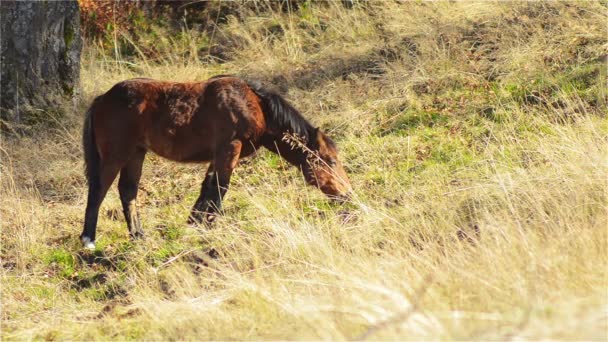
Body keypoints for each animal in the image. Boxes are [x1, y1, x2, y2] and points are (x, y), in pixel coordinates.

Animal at [79, 75, 352, 248]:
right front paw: (210, 225)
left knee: (128, 191)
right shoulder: (229, 148)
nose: (348, 194)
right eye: (330, 161)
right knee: (98, 190)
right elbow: (220, 188)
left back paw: (139, 237)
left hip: (136, 153)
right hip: (116, 155)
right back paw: (89, 240)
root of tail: (102, 98)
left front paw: (196, 222)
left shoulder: (219, 154)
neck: (254, 104)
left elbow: (208, 188)